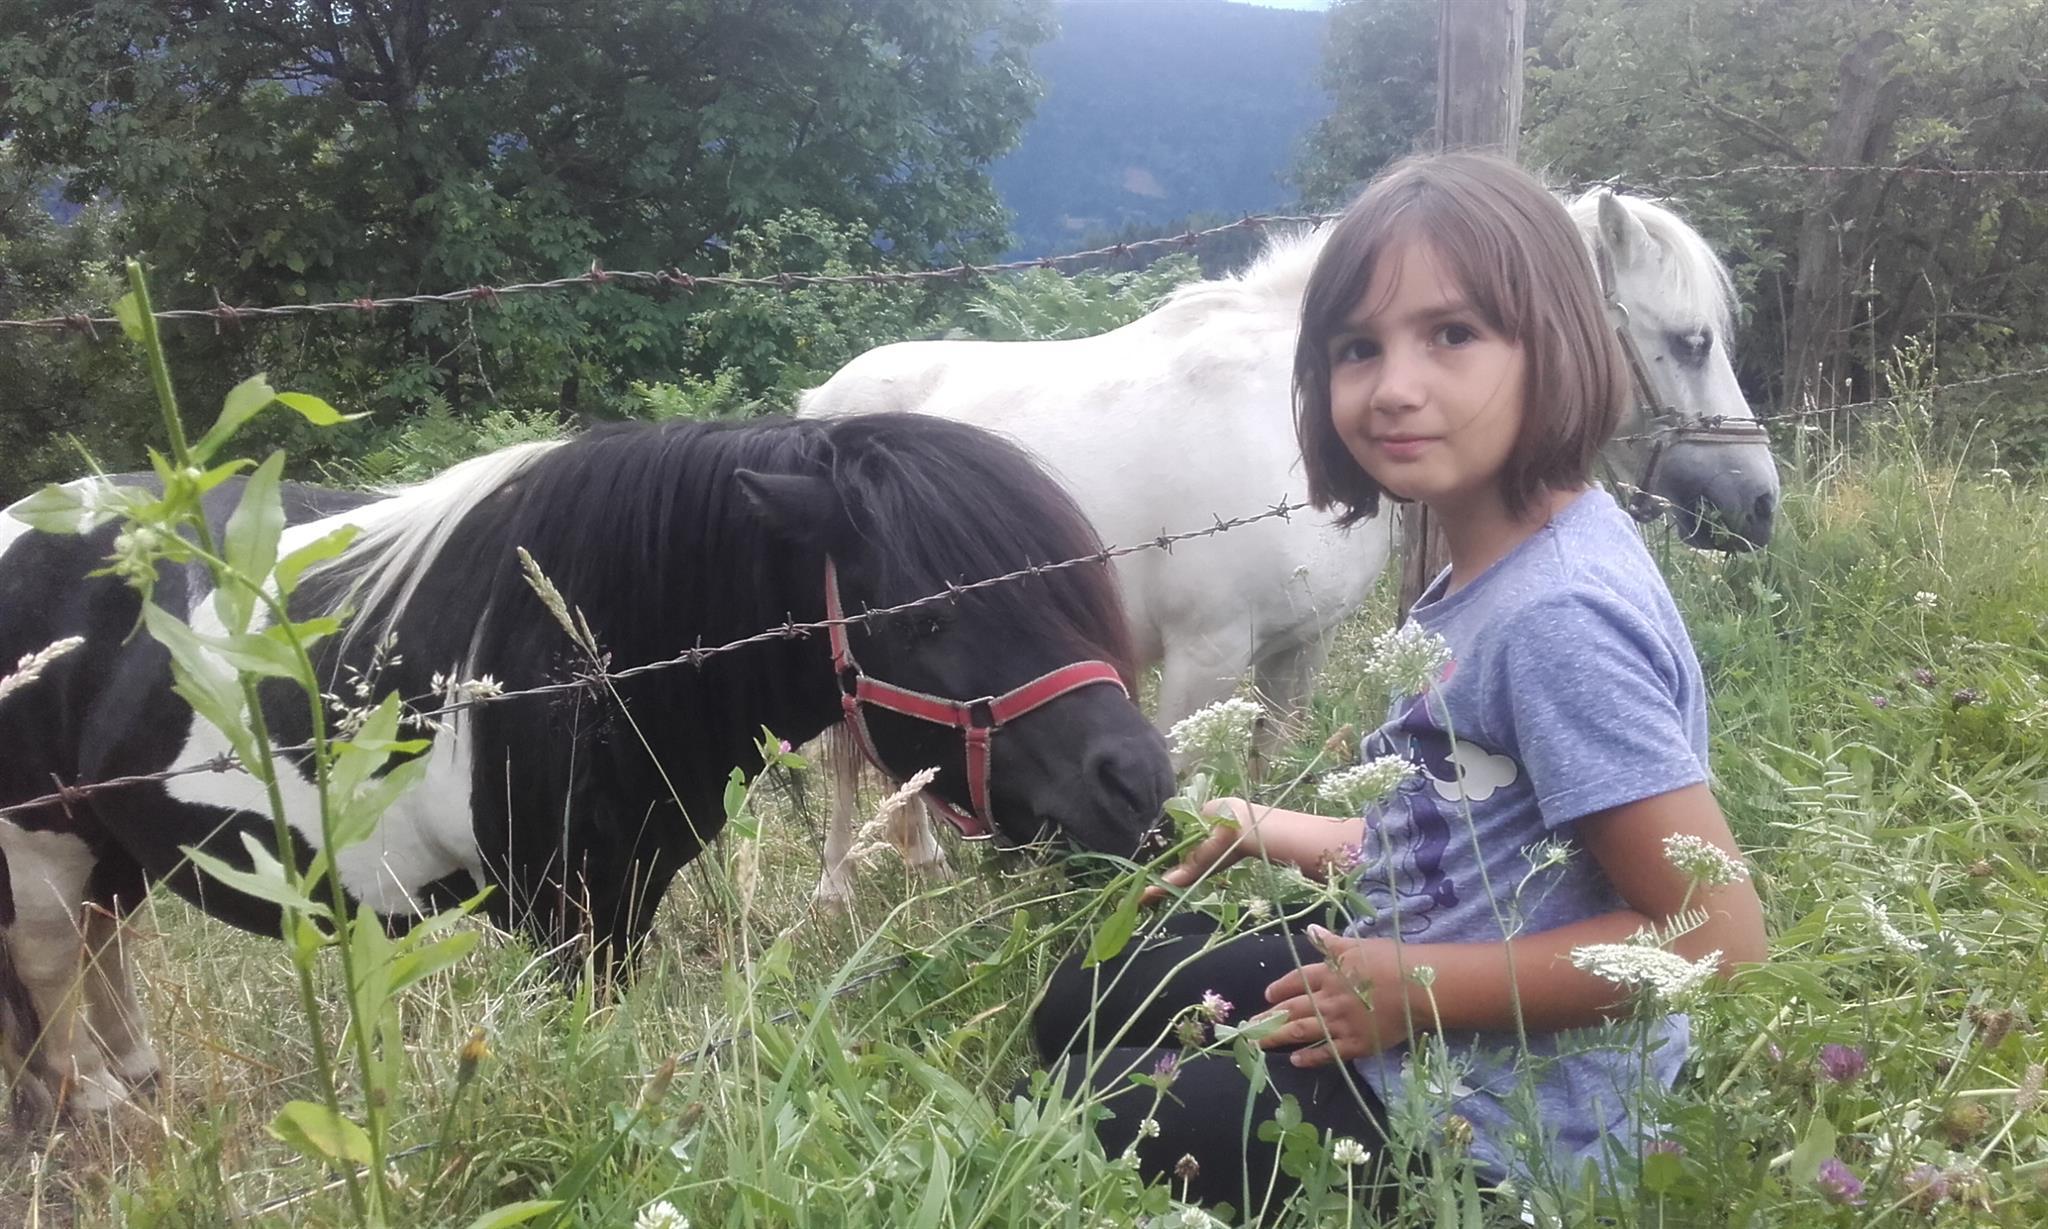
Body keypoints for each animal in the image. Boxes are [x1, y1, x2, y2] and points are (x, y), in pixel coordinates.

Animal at [0, 412, 1175, 1117]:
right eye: (926, 618)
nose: (1141, 787)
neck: (580, 651)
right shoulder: (564, 913)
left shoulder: (622, 896)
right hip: (39, 842)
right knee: (55, 960)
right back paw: (94, 1098)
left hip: (107, 838)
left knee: (107, 936)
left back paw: (140, 1076)